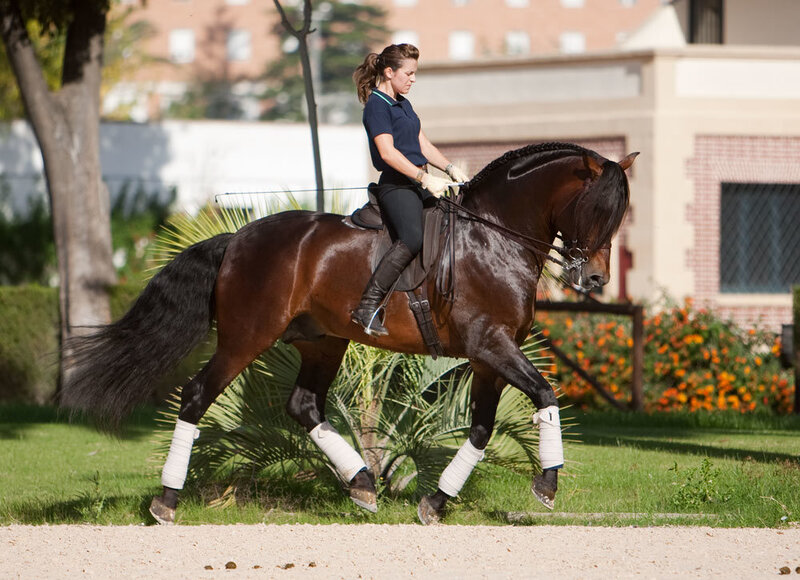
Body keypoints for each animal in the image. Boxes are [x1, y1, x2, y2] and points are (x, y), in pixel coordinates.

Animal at [63, 141, 637, 525]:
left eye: (619, 215)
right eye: (595, 210)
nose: (594, 280)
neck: (494, 237)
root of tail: (238, 238)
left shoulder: (485, 356)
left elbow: (479, 428)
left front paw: (436, 503)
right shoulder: (491, 344)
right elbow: (545, 394)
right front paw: (547, 483)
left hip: (322, 342)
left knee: (303, 406)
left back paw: (362, 484)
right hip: (245, 338)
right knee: (197, 395)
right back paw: (166, 501)